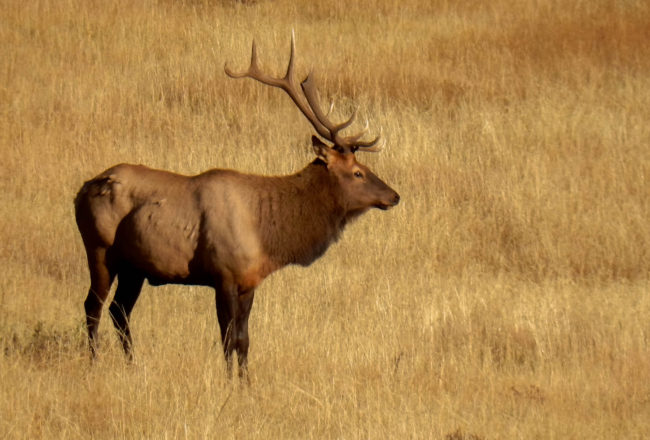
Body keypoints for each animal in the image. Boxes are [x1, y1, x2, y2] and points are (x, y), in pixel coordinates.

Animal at [76, 35, 400, 378]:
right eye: (357, 172)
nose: (394, 196)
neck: (267, 234)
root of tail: (82, 190)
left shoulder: (248, 281)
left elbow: (243, 339)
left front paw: (245, 382)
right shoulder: (224, 275)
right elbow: (227, 337)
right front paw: (229, 380)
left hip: (133, 266)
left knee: (119, 310)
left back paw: (132, 363)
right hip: (99, 249)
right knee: (93, 306)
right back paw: (95, 361)